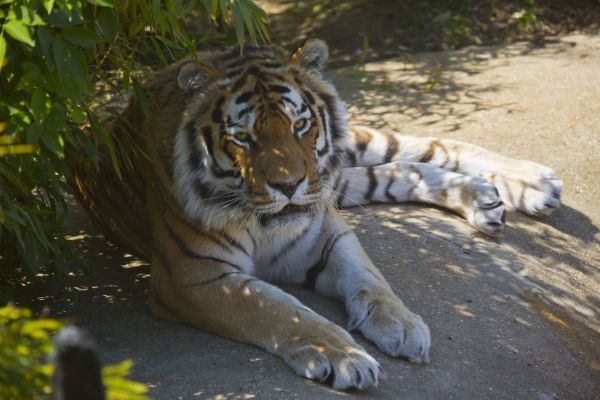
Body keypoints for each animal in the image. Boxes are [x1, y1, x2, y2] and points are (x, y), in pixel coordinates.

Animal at [70, 39, 564, 390]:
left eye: (300, 124)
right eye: (242, 137)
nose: (289, 185)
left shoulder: (327, 229)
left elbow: (370, 279)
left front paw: (402, 324)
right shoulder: (192, 276)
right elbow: (278, 310)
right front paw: (343, 356)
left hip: (341, 165)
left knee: (429, 145)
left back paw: (530, 183)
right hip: (339, 182)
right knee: (402, 170)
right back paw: (485, 198)